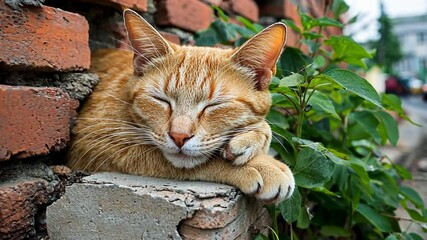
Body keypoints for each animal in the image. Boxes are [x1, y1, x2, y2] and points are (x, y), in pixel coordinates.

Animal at [68, 9, 296, 202]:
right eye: (161, 100)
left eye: (214, 105)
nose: (179, 136)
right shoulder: (92, 143)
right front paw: (264, 165)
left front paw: (255, 135)